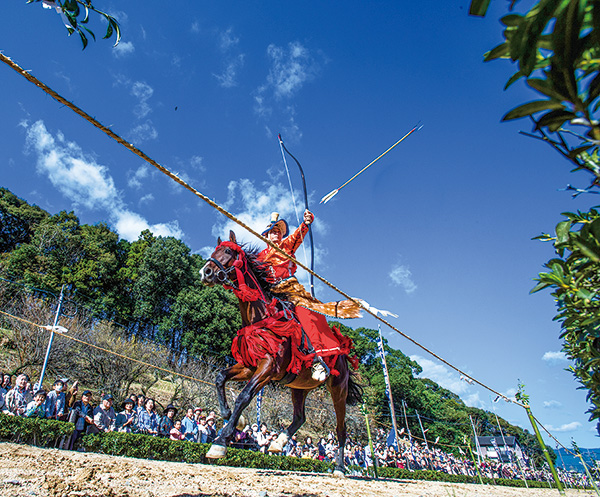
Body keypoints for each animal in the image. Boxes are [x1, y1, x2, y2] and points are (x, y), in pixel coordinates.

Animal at [198, 231, 360, 474]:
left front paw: (221, 441)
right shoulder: (250, 365)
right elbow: (219, 377)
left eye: (228, 251)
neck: (262, 317)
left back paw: (340, 468)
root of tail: (343, 352)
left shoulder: (267, 369)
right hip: (299, 387)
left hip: (338, 389)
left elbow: (244, 396)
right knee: (300, 417)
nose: (205, 272)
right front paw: (230, 417)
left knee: (341, 429)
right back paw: (278, 442)